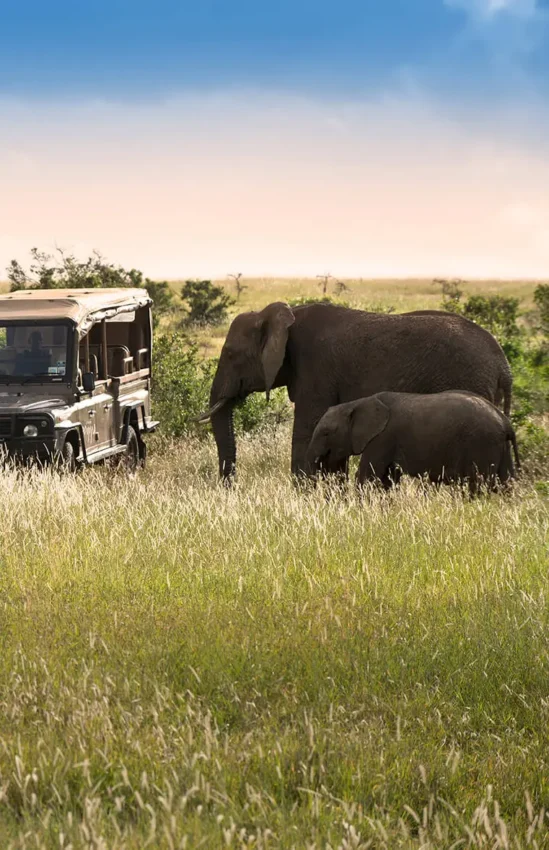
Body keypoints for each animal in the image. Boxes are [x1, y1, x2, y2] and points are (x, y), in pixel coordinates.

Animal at [197, 301, 513, 481]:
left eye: (231, 355)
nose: (231, 488)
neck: (282, 317)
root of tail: (504, 364)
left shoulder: (316, 370)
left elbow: (306, 433)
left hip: (470, 378)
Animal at [306, 390, 520, 491]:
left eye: (326, 433)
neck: (357, 403)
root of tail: (505, 422)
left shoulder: (382, 438)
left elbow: (368, 476)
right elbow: (387, 479)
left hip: (482, 444)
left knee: (478, 484)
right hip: (500, 447)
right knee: (506, 483)